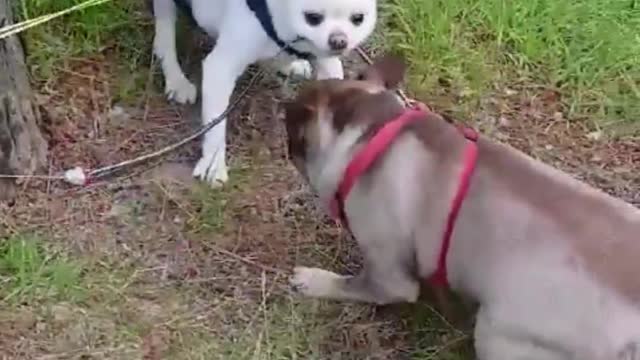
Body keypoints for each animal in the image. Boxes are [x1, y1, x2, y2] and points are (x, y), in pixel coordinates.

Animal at [152, 0, 378, 186]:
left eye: (358, 19)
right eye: (313, 18)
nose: (339, 40)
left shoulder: (325, 59)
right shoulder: (221, 67)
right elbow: (215, 124)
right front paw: (213, 162)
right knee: (163, 33)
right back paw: (176, 79)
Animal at [282, 55, 640, 360]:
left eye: (292, 133)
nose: (286, 111)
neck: (372, 134)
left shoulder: (386, 271)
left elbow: (353, 285)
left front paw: (312, 280)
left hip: (496, 334)